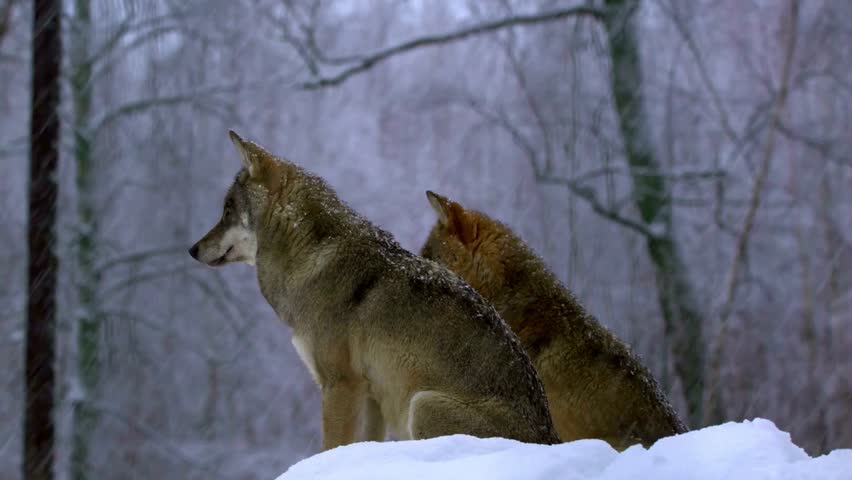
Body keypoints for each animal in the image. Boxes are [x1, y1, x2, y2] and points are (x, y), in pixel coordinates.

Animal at [188, 131, 560, 450]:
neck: (312, 259)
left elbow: (332, 447)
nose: (192, 249)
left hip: (421, 404)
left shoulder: (341, 385)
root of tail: (550, 437)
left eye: (226, 211)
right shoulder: (370, 397)